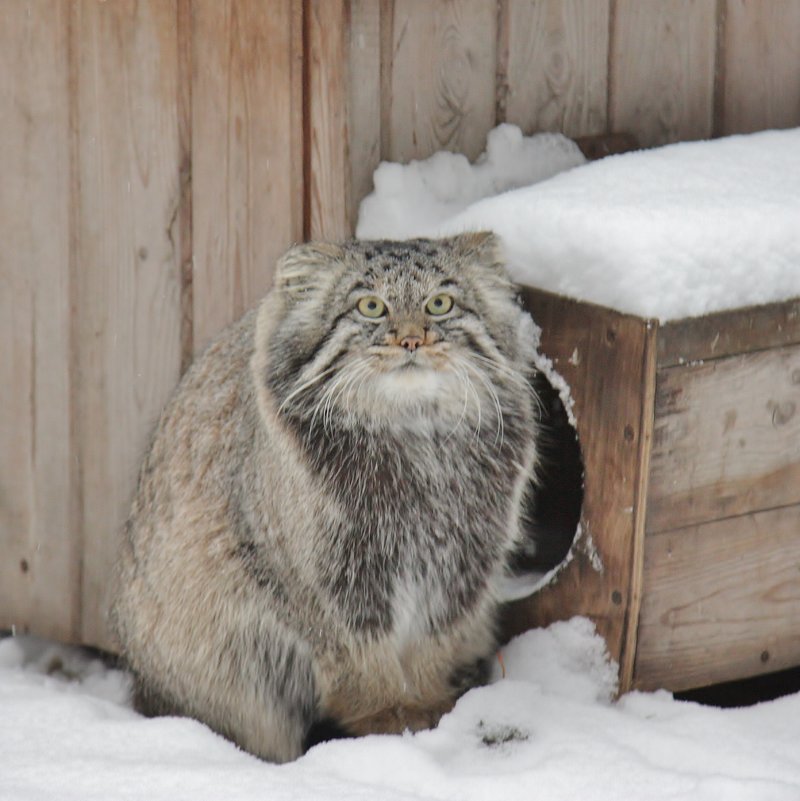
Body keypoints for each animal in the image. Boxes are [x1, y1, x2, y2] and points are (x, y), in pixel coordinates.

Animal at [111, 231, 536, 764]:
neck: (416, 440)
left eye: (440, 304)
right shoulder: (318, 577)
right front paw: (386, 718)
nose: (411, 340)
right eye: (370, 306)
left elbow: (431, 642)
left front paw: (427, 707)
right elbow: (354, 654)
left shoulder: (462, 562)